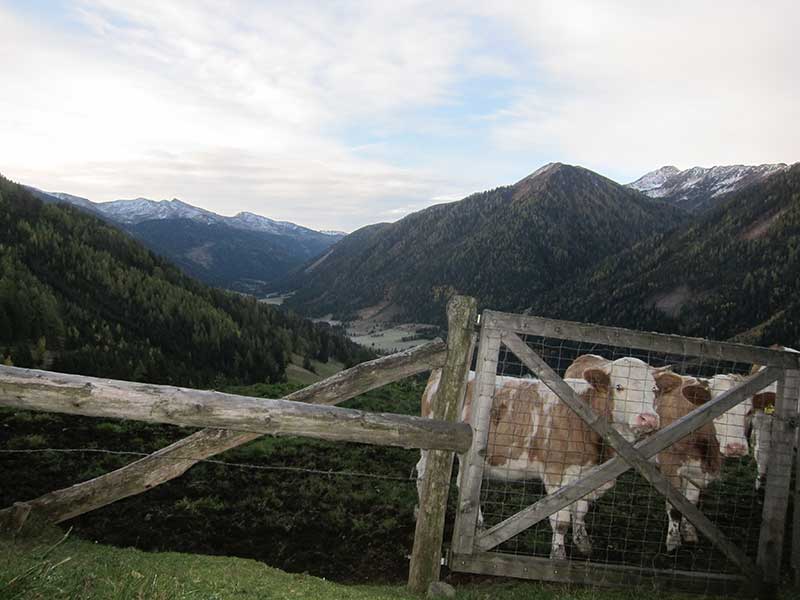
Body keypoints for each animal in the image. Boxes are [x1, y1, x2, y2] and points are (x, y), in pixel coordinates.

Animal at [416, 356, 660, 556]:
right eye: (619, 386)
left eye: (654, 389)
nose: (649, 418)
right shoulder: (556, 472)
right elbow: (560, 520)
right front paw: (558, 555)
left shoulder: (588, 474)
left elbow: (581, 509)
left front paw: (583, 542)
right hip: (434, 444)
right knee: (422, 473)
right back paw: (421, 511)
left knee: (461, 482)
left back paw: (478, 524)